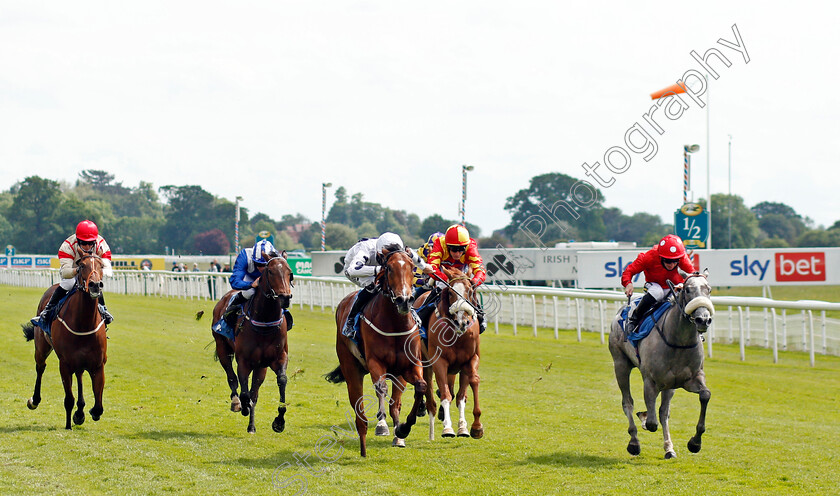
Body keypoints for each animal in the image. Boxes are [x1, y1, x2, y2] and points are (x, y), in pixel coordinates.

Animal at [21, 254, 108, 428]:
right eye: (81, 266)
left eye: (101, 265)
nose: (95, 285)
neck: (84, 324)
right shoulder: (65, 364)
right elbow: (68, 399)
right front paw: (69, 425)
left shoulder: (98, 364)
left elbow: (98, 407)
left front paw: (82, 414)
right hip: (41, 348)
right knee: (40, 368)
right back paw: (34, 400)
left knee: (79, 374)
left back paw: (80, 411)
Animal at [212, 254, 294, 432]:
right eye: (270, 271)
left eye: (289, 272)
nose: (285, 297)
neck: (265, 323)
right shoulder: (243, 360)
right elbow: (244, 392)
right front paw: (243, 406)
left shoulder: (278, 358)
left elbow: (281, 380)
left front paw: (279, 421)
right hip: (222, 348)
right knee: (232, 377)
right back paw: (236, 403)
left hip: (260, 366)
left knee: (254, 393)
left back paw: (251, 426)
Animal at [324, 248, 426, 458]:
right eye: (388, 268)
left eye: (412, 267)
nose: (404, 300)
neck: (395, 323)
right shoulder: (375, 363)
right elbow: (381, 388)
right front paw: (381, 425)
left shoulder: (410, 366)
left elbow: (421, 387)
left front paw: (403, 429)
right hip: (351, 369)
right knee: (359, 411)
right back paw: (363, 447)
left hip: (397, 374)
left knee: (395, 404)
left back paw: (398, 436)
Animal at [416, 270, 482, 440]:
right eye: (451, 293)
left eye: (470, 290)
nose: (462, 322)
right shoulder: (439, 361)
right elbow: (445, 394)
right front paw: (448, 428)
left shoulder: (470, 360)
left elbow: (466, 390)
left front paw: (472, 427)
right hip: (425, 361)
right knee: (430, 395)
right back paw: (431, 431)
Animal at [612, 270, 716, 460]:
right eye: (687, 290)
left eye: (709, 289)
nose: (703, 320)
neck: (678, 342)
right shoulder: (650, 381)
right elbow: (651, 422)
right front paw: (644, 419)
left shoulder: (691, 379)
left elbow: (705, 395)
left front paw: (695, 443)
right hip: (620, 364)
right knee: (627, 402)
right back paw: (634, 442)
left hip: (670, 385)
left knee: (663, 412)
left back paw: (669, 448)